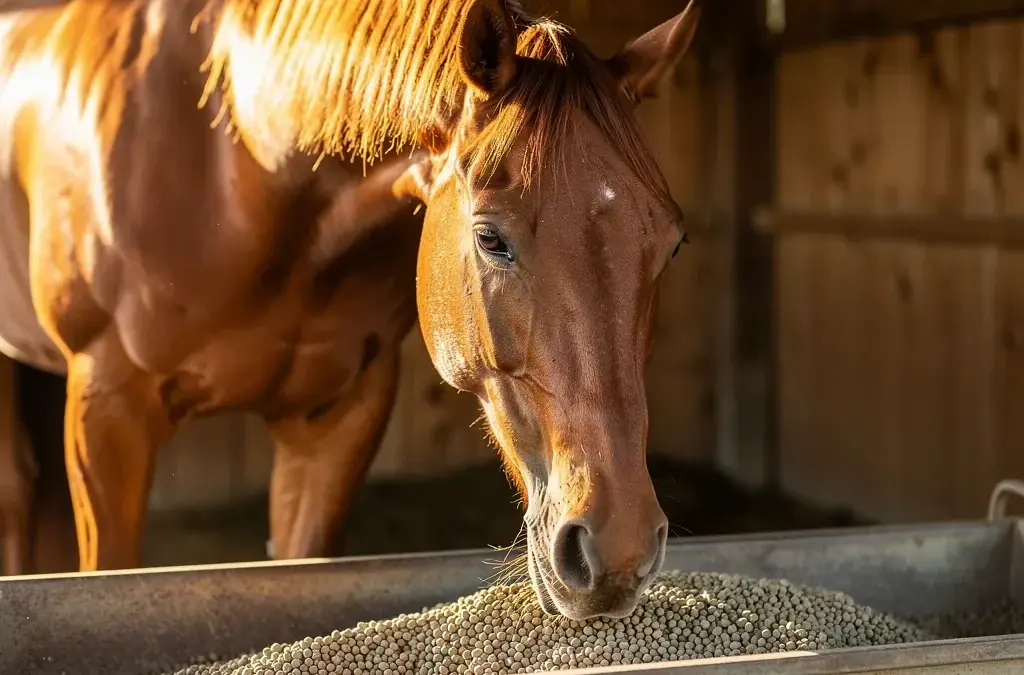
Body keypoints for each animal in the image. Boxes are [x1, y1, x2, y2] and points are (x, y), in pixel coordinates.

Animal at [0, 0, 700, 620]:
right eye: (489, 237)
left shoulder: (338, 418)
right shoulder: (107, 407)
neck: (245, 152)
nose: (619, 550)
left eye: (671, 243)